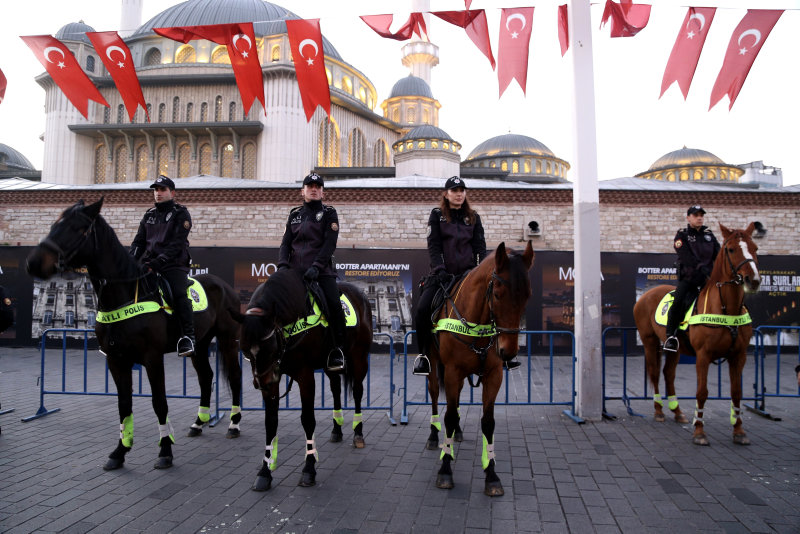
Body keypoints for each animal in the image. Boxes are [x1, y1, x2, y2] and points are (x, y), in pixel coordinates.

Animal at [26, 198, 243, 469]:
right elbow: (124, 404)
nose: (34, 263)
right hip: (199, 345)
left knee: (234, 377)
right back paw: (198, 422)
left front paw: (165, 451)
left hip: (227, 340)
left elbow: (159, 402)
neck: (125, 293)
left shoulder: (152, 358)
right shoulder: (116, 360)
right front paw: (120, 452)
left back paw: (234, 424)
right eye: (54, 224)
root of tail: (226, 287)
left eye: (78, 228)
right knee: (206, 377)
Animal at [237, 268, 372, 491]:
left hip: (359, 358)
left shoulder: (304, 375)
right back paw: (337, 430)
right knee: (336, 388)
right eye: (246, 350)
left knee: (358, 392)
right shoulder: (273, 378)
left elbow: (308, 420)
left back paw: (358, 434)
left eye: (269, 349)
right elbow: (270, 422)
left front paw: (309, 469)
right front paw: (265, 472)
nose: (261, 384)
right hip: (329, 364)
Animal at [424, 241, 534, 496]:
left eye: (527, 295)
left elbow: (488, 422)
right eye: (497, 294)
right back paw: (434, 436)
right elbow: (449, 416)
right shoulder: (452, 371)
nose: (508, 351)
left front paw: (491, 474)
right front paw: (445, 469)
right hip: (434, 363)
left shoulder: (494, 375)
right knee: (434, 393)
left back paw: (457, 433)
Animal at [633, 223, 760, 446]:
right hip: (649, 341)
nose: (752, 280)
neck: (727, 309)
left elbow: (736, 392)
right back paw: (659, 411)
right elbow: (702, 392)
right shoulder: (703, 355)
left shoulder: (739, 356)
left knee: (668, 374)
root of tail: (647, 294)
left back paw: (677, 411)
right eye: (731, 249)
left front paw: (738, 430)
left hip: (674, 348)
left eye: (755, 248)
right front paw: (699, 431)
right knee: (655, 373)